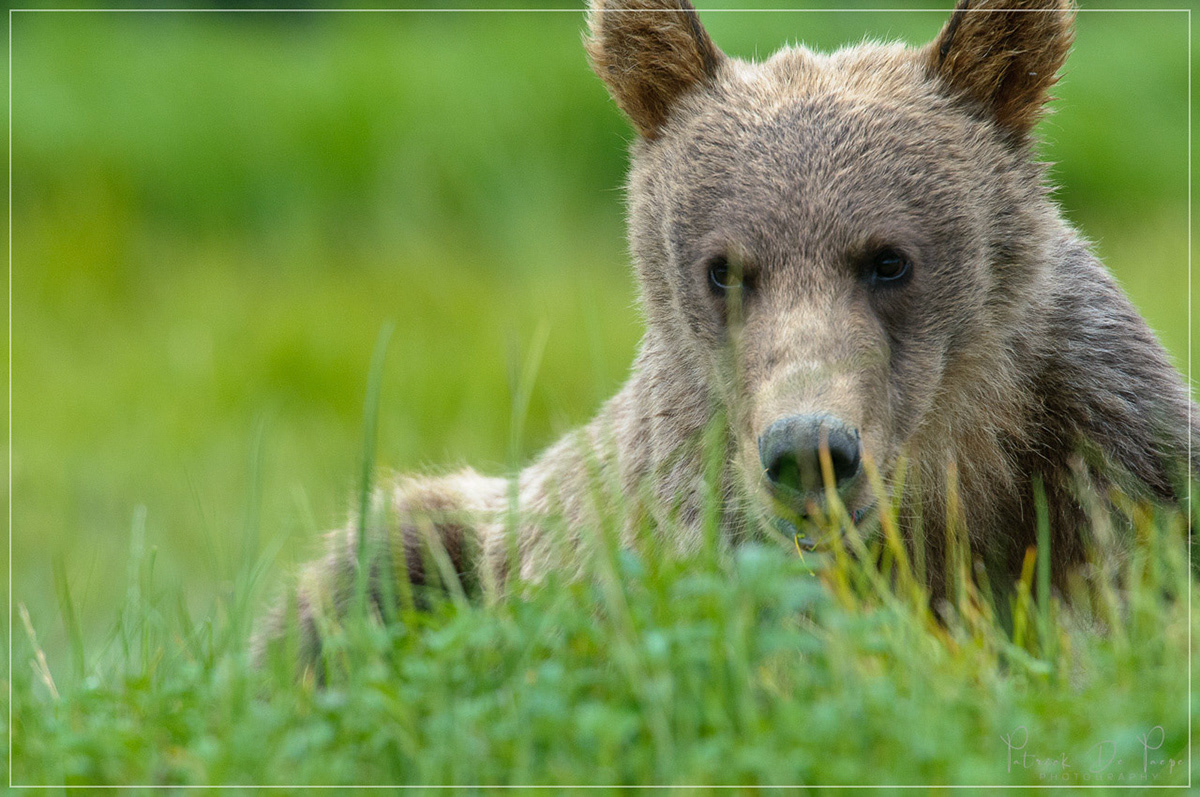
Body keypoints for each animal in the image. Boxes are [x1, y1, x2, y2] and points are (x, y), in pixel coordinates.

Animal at [255, 0, 1200, 667]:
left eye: (889, 259)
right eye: (725, 269)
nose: (810, 450)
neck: (947, 473)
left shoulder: (1098, 430)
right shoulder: (694, 520)